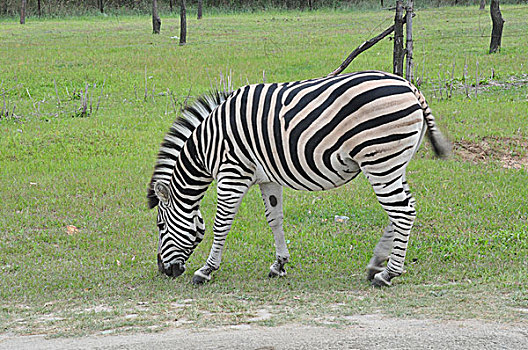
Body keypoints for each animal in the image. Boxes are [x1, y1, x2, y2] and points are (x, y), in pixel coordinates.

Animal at [147, 70, 450, 288]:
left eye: (160, 226)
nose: (164, 271)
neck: (208, 146)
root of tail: (410, 87)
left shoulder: (233, 173)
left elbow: (221, 224)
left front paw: (206, 270)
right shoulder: (267, 177)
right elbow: (275, 219)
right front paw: (279, 264)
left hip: (380, 160)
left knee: (403, 212)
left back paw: (388, 274)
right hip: (393, 163)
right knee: (401, 211)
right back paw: (376, 265)